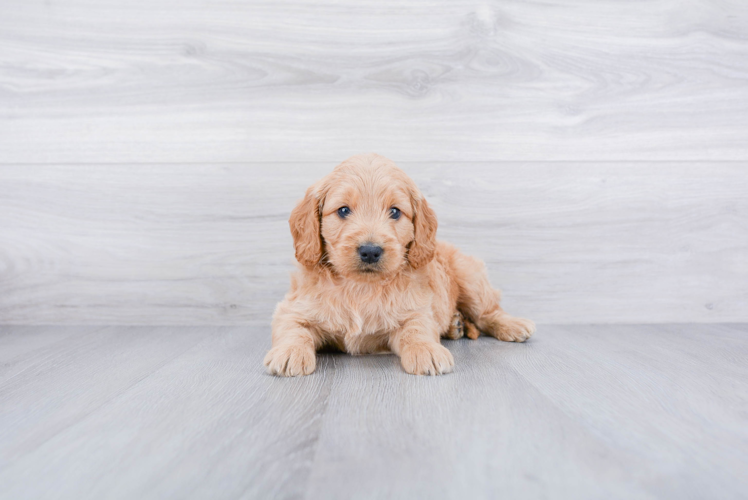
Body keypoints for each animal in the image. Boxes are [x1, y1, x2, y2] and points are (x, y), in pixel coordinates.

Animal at [266, 152, 536, 376]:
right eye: (343, 210)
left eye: (395, 212)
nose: (370, 251)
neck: (360, 287)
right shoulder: (292, 308)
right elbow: (293, 329)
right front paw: (289, 352)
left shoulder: (416, 309)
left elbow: (416, 329)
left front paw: (427, 350)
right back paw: (456, 325)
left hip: (469, 276)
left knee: (488, 311)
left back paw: (512, 324)